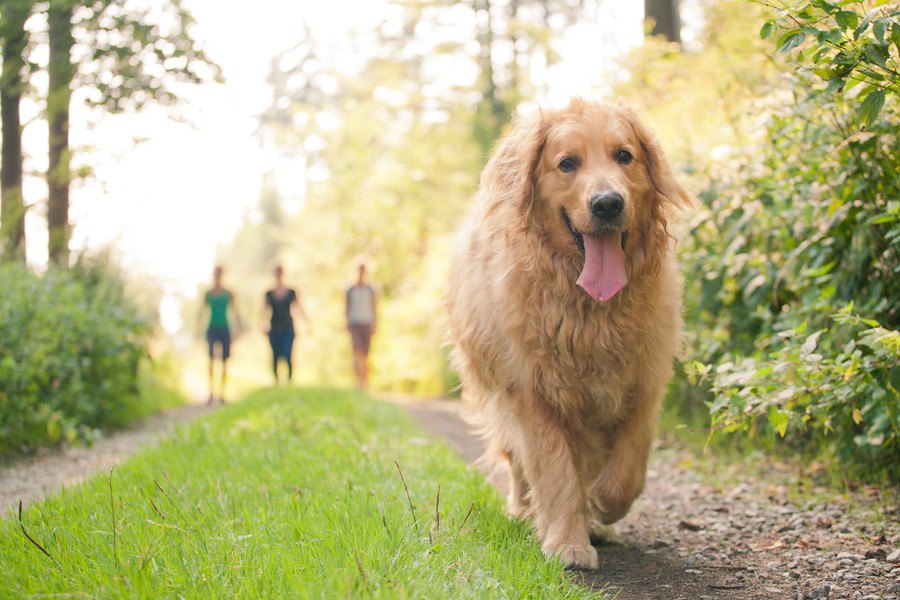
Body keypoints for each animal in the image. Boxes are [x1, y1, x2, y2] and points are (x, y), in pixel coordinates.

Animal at [446, 97, 692, 568]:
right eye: (567, 163)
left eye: (624, 156)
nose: (607, 204)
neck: (591, 310)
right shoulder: (535, 394)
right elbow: (557, 472)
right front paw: (567, 543)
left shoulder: (642, 385)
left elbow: (625, 471)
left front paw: (602, 509)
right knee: (518, 463)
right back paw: (524, 510)